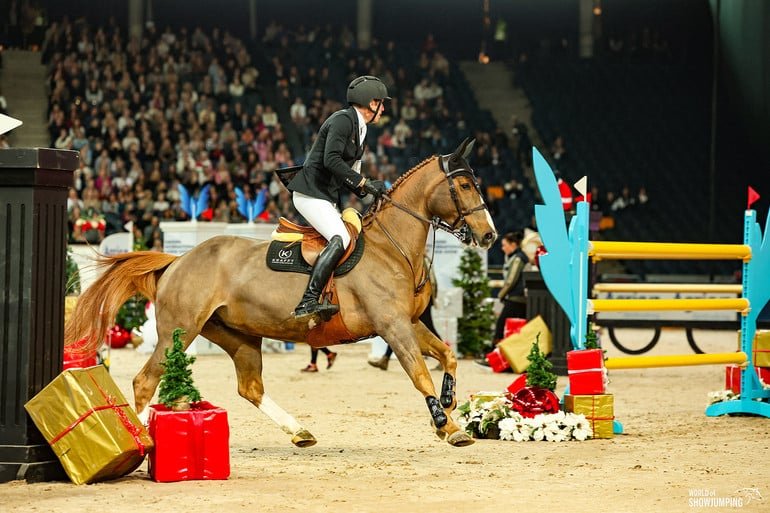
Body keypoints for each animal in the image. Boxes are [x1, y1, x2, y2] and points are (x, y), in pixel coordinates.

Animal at [65, 138, 497, 447]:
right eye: (463, 184)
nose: (489, 235)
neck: (391, 247)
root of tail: (178, 260)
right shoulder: (393, 326)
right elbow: (420, 372)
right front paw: (447, 425)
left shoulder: (407, 322)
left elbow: (448, 355)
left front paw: (448, 405)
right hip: (179, 331)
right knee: (145, 380)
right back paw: (142, 443)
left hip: (237, 336)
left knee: (250, 387)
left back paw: (300, 431)